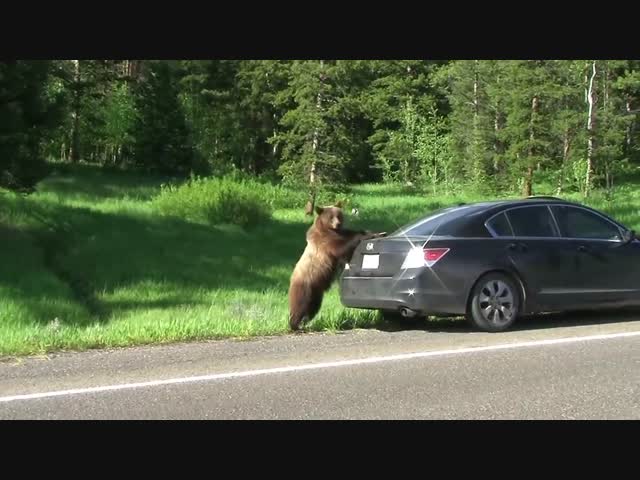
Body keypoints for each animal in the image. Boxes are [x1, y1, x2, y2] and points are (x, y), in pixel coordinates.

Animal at [288, 202, 384, 330]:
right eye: (331, 217)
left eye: (338, 215)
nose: (337, 224)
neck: (330, 230)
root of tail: (291, 279)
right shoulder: (325, 241)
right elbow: (341, 247)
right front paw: (363, 236)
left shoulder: (341, 233)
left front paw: (377, 233)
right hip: (305, 285)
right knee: (300, 304)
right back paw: (294, 324)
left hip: (316, 292)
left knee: (313, 307)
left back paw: (305, 321)